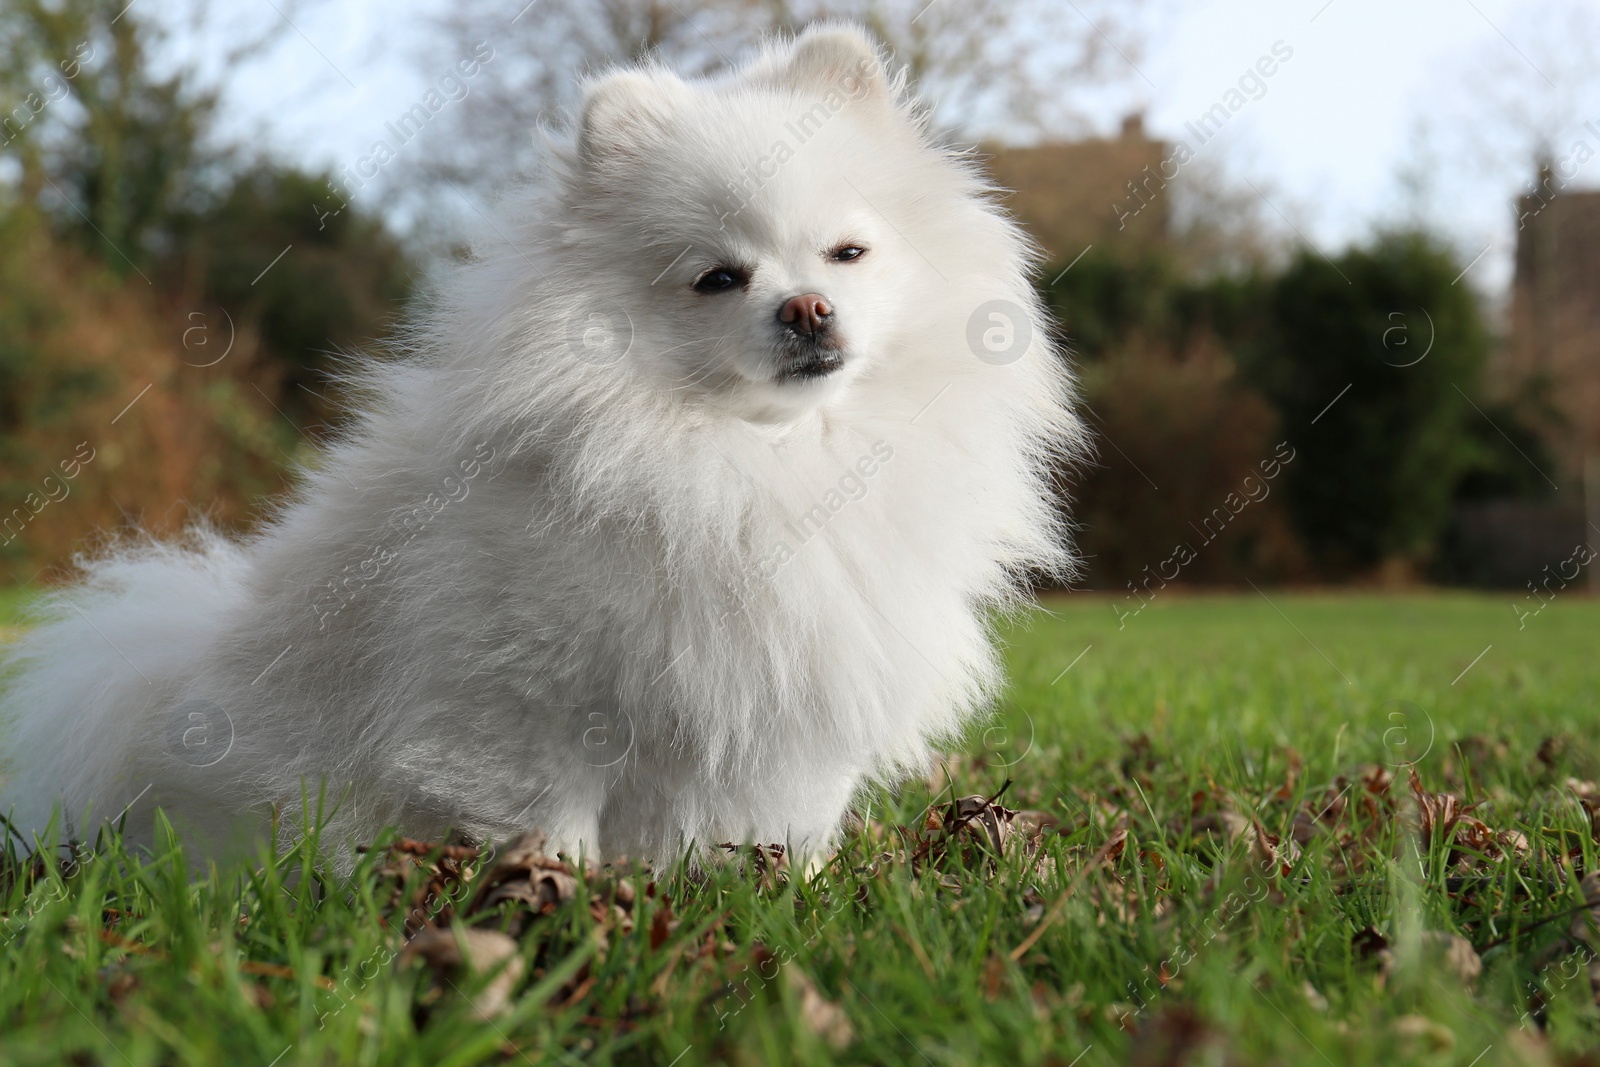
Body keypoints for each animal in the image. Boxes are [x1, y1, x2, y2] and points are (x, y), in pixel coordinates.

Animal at [3, 24, 1075, 870]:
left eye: (848, 254)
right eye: (717, 278)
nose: (807, 307)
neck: (753, 459)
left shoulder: (795, 707)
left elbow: (789, 825)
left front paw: (788, 896)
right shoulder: (524, 702)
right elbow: (548, 815)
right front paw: (556, 904)